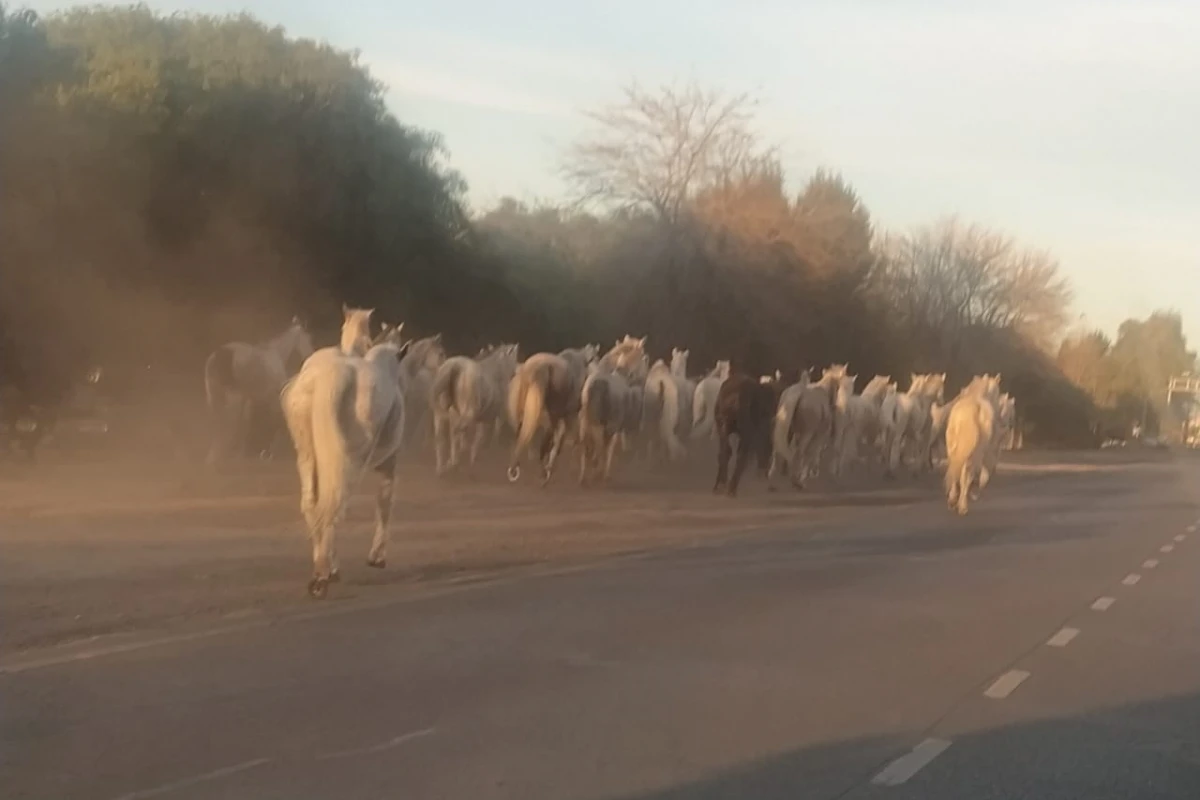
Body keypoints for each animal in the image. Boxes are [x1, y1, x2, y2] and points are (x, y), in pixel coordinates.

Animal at [204, 311, 314, 462]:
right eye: (307, 337)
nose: (310, 354)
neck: (277, 353)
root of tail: (217, 357)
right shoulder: (272, 396)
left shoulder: (251, 398)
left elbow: (247, 422)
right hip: (231, 399)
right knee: (227, 424)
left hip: (215, 397)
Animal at [282, 335, 417, 594]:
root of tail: (328, 379)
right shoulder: (389, 461)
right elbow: (384, 501)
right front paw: (377, 557)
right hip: (350, 460)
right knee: (335, 505)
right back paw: (323, 574)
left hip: (307, 454)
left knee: (313, 504)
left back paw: (324, 567)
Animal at [434, 345, 523, 474]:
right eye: (514, 356)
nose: (514, 373)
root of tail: (455, 367)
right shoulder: (488, 417)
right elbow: (482, 436)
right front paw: (473, 456)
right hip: (460, 415)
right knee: (454, 433)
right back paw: (452, 462)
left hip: (440, 415)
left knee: (441, 437)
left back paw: (440, 467)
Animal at [578, 335, 648, 484]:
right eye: (642, 355)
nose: (644, 377)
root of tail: (598, 384)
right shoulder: (613, 427)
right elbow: (609, 448)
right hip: (605, 426)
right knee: (600, 447)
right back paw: (599, 473)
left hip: (585, 424)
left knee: (586, 448)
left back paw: (584, 477)